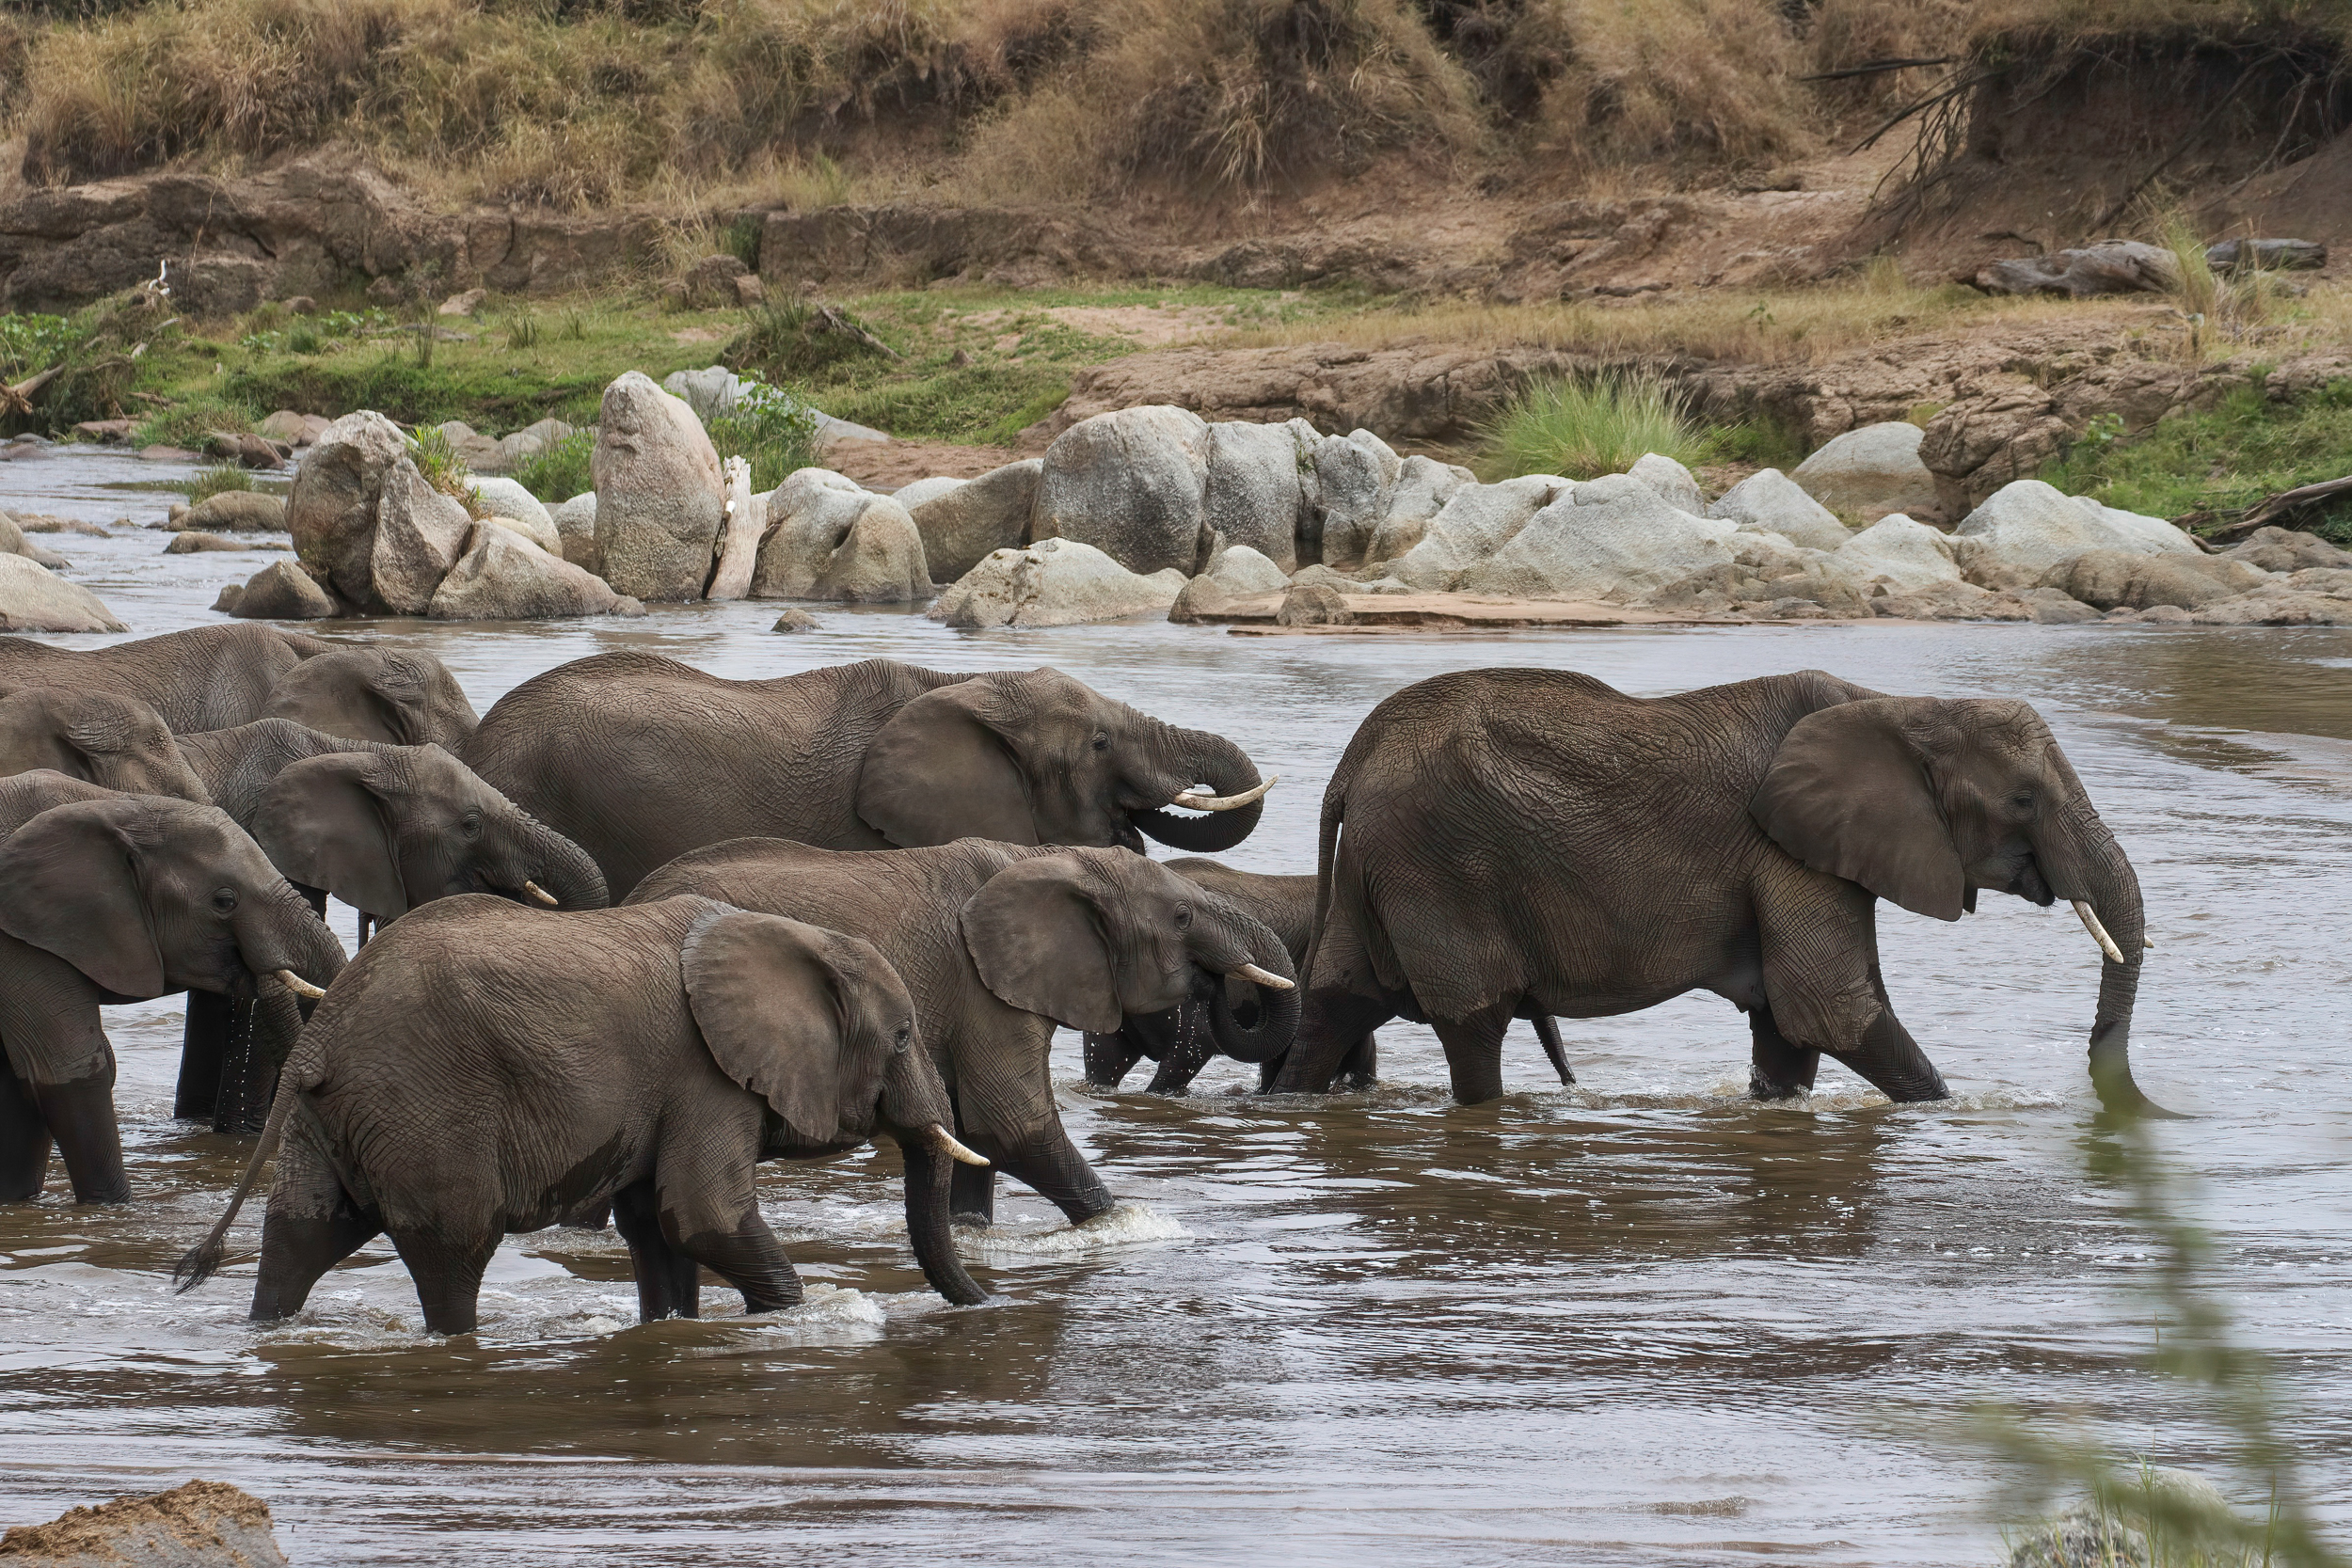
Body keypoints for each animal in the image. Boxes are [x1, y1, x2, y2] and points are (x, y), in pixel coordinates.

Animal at [174, 893, 990, 1333]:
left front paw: (672, 1328)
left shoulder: (671, 1088)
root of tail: (321, 1034)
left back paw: (266, 1325)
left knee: (303, 1232)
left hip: (329, 1115)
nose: (992, 1303)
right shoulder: (704, 1075)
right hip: (423, 1110)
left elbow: (657, 1224)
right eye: (904, 1036)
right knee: (453, 1249)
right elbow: (703, 1215)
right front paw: (785, 1319)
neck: (786, 931)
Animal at [628, 840, 1300, 1227]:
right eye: (1182, 917)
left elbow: (973, 1129)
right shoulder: (982, 984)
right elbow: (1009, 1123)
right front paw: (1126, 1226)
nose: (1218, 987)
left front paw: (970, 1232)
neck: (1055, 859)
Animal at [1266, 668, 2160, 1115]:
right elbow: (1829, 1007)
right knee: (1473, 1026)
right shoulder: (1789, 850)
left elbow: (1789, 1029)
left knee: (1338, 1001)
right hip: (1438, 864)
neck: (1904, 705)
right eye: (2024, 799)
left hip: (1379, 865)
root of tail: (1358, 754)